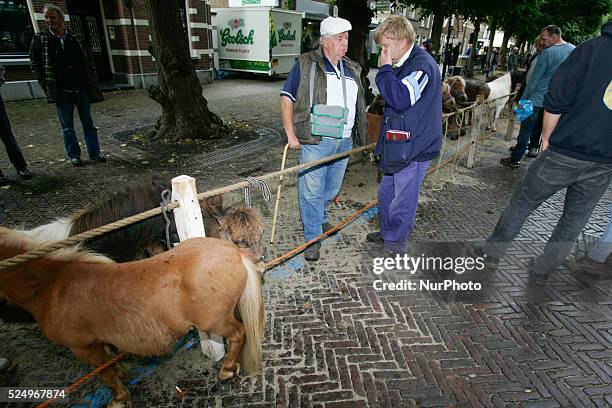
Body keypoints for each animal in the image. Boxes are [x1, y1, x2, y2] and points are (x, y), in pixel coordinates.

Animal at [1, 228, 266, 406]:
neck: (54, 286)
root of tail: (234, 251)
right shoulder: (99, 342)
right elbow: (110, 363)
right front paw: (122, 375)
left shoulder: (83, 348)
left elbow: (105, 375)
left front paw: (119, 398)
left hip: (215, 321)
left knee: (239, 334)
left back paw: (227, 370)